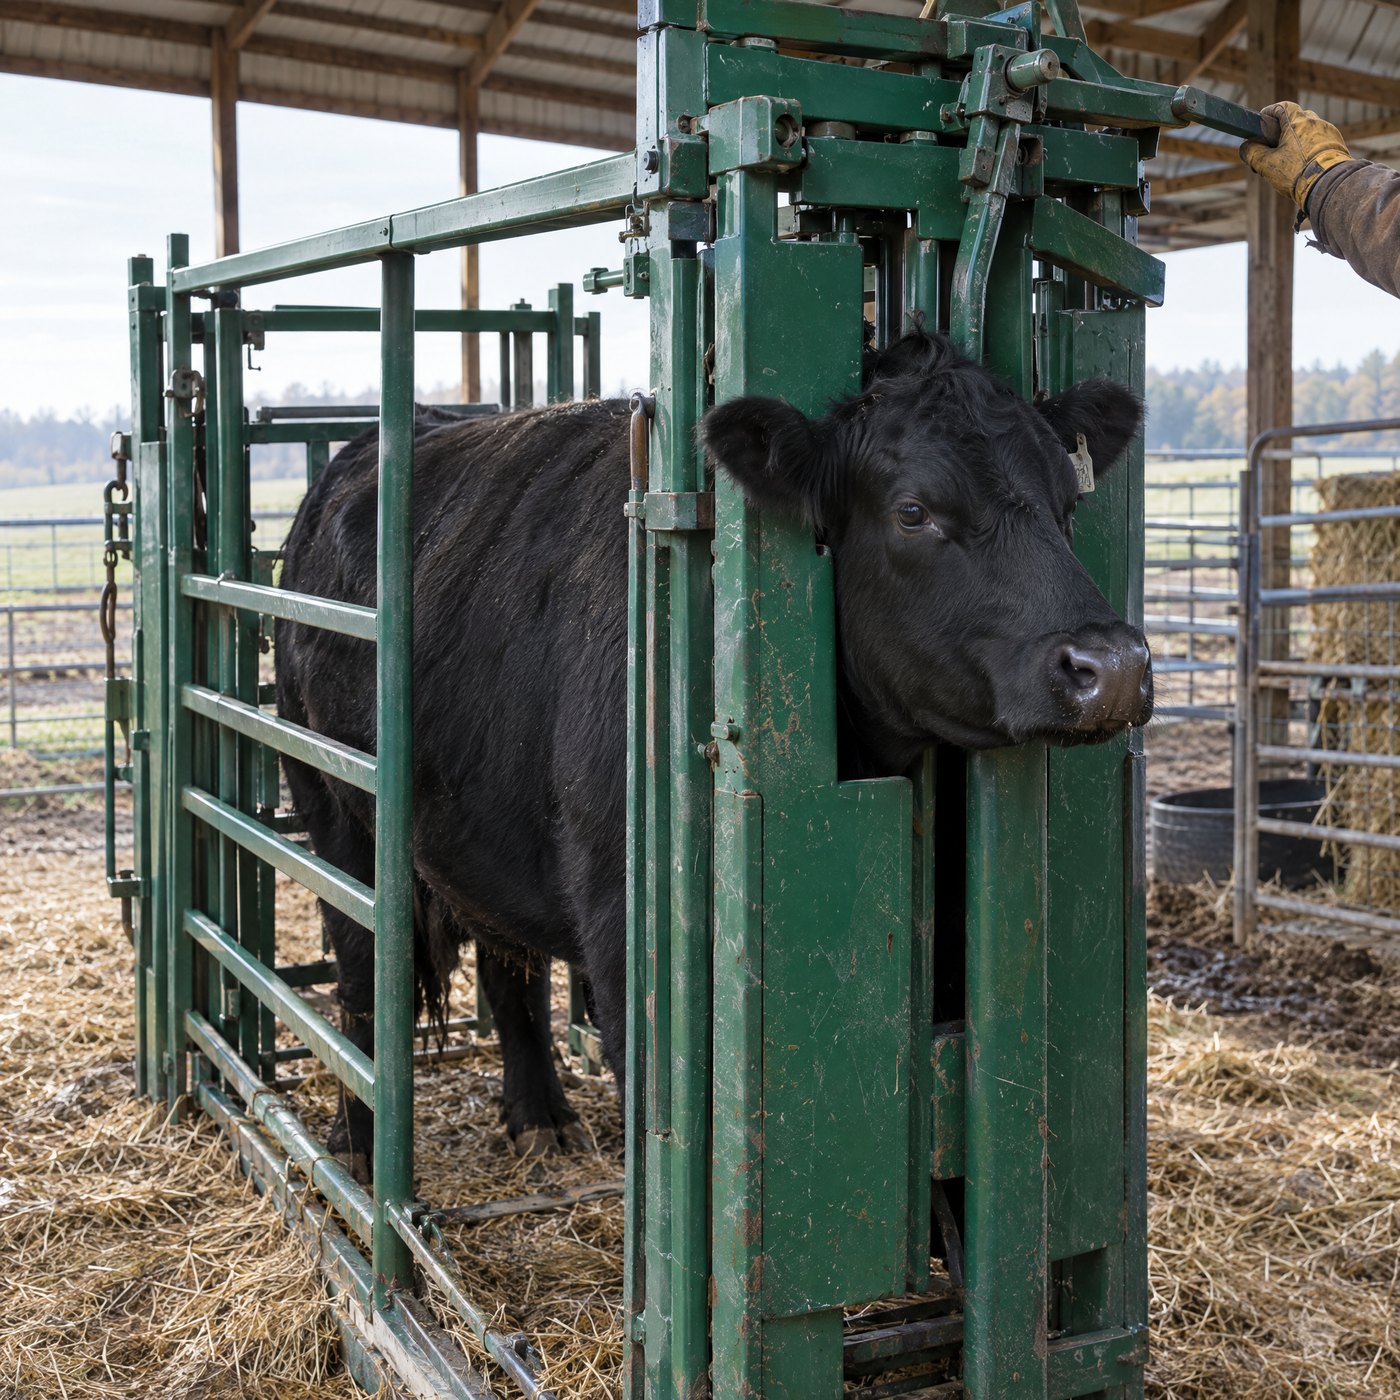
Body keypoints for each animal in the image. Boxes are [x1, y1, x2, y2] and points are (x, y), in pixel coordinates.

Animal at [275, 328, 1152, 1175]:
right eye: (912, 511)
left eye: (1069, 500)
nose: (1112, 666)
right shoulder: (626, 927)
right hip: (334, 807)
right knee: (360, 971)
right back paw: (355, 1144)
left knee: (506, 963)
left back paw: (540, 1119)